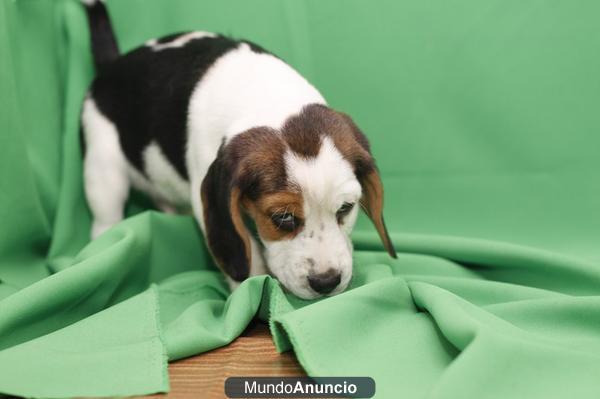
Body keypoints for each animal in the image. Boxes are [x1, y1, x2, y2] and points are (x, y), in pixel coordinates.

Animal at [82, 0, 396, 300]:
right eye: (282, 218)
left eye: (346, 208)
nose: (327, 282)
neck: (268, 98)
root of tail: (112, 65)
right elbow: (246, 252)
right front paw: (252, 290)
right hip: (103, 173)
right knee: (105, 217)